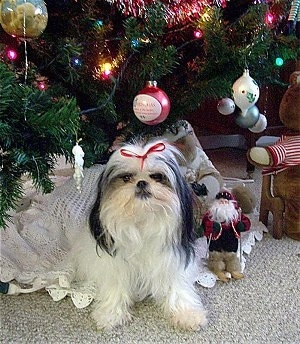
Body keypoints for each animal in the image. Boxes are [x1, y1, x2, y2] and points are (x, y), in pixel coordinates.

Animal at [69, 139, 207, 330]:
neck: (143, 219)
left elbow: (177, 289)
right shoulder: (115, 266)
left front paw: (187, 314)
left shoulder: (170, 263)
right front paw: (110, 314)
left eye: (157, 176)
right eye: (126, 178)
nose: (141, 183)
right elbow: (115, 288)